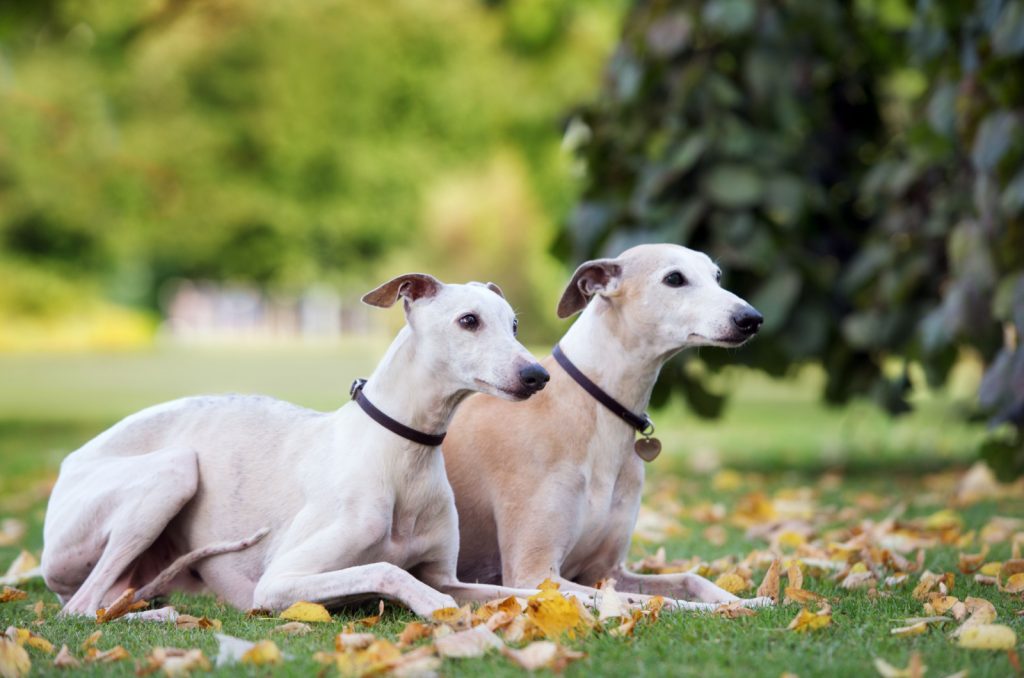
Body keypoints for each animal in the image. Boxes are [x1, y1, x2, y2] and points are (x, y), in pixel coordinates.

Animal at [41, 276, 552, 622]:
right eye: (468, 321)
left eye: (514, 324)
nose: (538, 376)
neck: (401, 453)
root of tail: (67, 464)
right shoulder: (281, 581)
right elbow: (386, 570)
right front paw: (433, 604)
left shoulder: (448, 573)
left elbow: (534, 592)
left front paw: (570, 597)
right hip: (173, 469)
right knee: (81, 609)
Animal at [440, 244, 770, 610]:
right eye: (674, 278)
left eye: (717, 276)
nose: (751, 319)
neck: (594, 408)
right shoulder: (536, 574)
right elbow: (650, 602)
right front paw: (720, 608)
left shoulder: (605, 569)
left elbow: (689, 577)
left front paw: (746, 600)